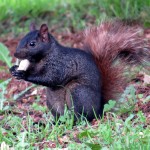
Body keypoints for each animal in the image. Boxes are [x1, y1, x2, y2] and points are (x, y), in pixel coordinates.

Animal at [9, 21, 149, 121]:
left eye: (32, 44)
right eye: (21, 40)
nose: (15, 54)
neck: (41, 58)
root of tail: (99, 109)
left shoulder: (61, 65)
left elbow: (51, 77)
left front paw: (23, 74)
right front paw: (14, 69)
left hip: (77, 92)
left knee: (83, 116)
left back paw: (75, 120)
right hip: (52, 101)